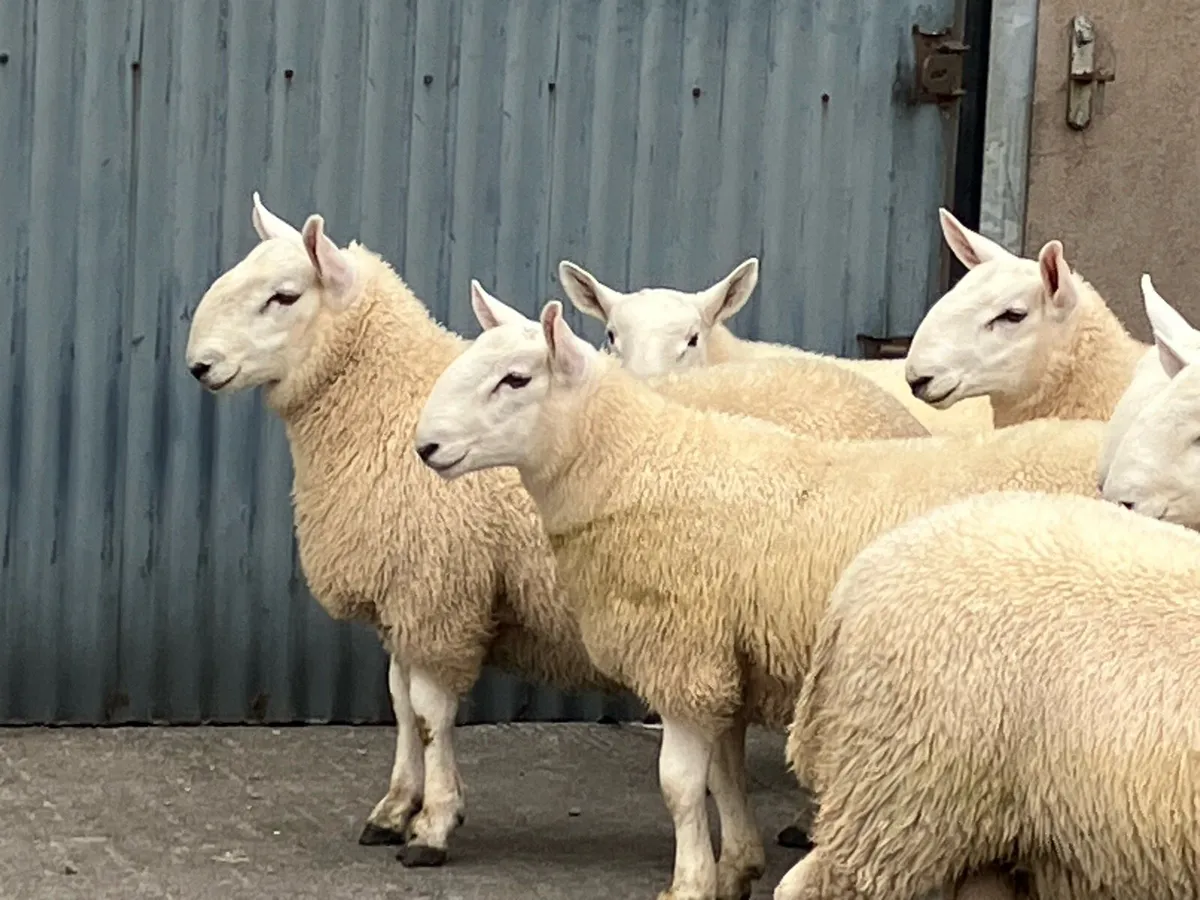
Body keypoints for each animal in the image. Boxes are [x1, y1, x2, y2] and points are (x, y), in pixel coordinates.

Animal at [182, 193, 927, 868]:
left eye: (283, 297)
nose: (200, 365)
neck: (384, 408)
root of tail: (890, 411)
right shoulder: (408, 594)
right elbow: (400, 704)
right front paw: (395, 808)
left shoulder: (440, 590)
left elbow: (429, 714)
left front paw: (432, 825)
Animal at [413, 300, 1106, 900]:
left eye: (515, 378)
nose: (426, 447)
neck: (635, 464)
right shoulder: (726, 656)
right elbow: (724, 776)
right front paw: (735, 867)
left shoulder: (683, 651)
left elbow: (679, 786)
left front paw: (688, 883)